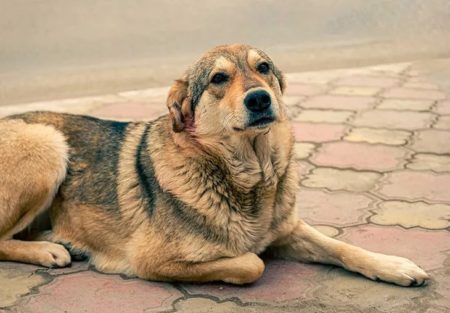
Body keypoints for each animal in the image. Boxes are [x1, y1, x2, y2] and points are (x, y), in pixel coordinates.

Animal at [0, 44, 428, 286]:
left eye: (264, 68)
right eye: (219, 78)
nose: (259, 99)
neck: (249, 173)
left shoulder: (289, 228)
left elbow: (341, 246)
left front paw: (393, 265)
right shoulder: (151, 259)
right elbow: (252, 262)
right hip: (47, 146)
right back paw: (48, 249)